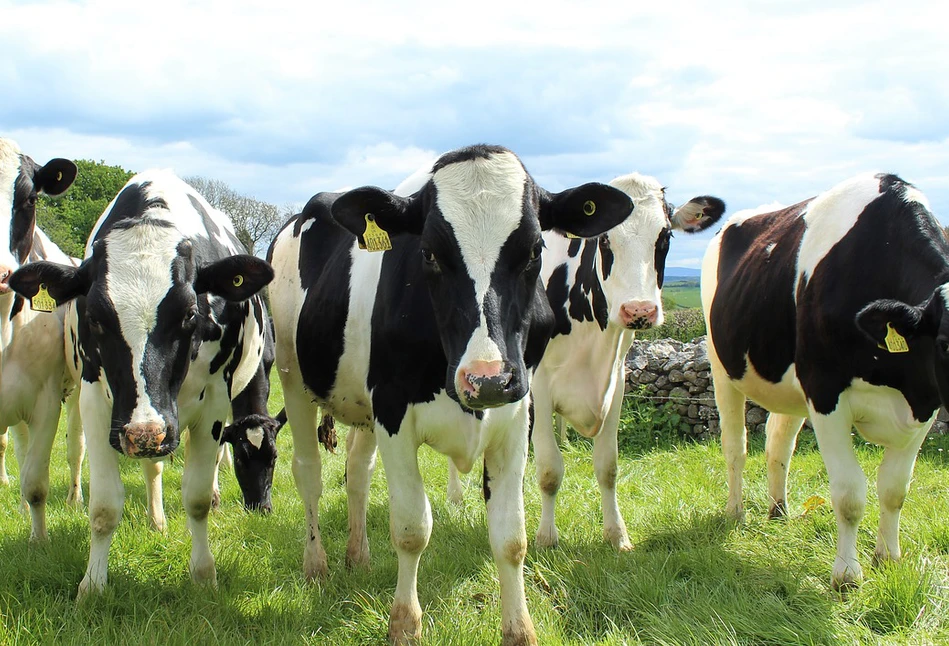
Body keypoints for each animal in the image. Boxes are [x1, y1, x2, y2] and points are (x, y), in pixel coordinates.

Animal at [10, 170, 274, 596]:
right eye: (95, 317)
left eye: (189, 313)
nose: (144, 432)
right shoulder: (98, 403)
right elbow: (104, 505)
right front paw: (92, 585)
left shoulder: (215, 404)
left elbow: (197, 497)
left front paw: (204, 576)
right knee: (152, 467)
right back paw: (155, 519)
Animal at [270, 147, 632, 646]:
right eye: (428, 253)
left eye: (536, 250)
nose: (487, 379)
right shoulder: (393, 412)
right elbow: (411, 527)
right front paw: (404, 623)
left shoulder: (517, 414)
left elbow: (510, 536)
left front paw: (519, 629)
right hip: (292, 375)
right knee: (309, 471)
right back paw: (316, 565)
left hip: (360, 404)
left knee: (357, 472)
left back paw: (358, 555)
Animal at [696, 173, 948, 592]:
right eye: (945, 342)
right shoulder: (826, 392)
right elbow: (849, 494)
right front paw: (846, 575)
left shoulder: (924, 402)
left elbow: (895, 489)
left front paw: (888, 558)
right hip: (722, 368)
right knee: (736, 446)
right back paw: (736, 512)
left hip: (789, 385)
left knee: (778, 442)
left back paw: (778, 509)